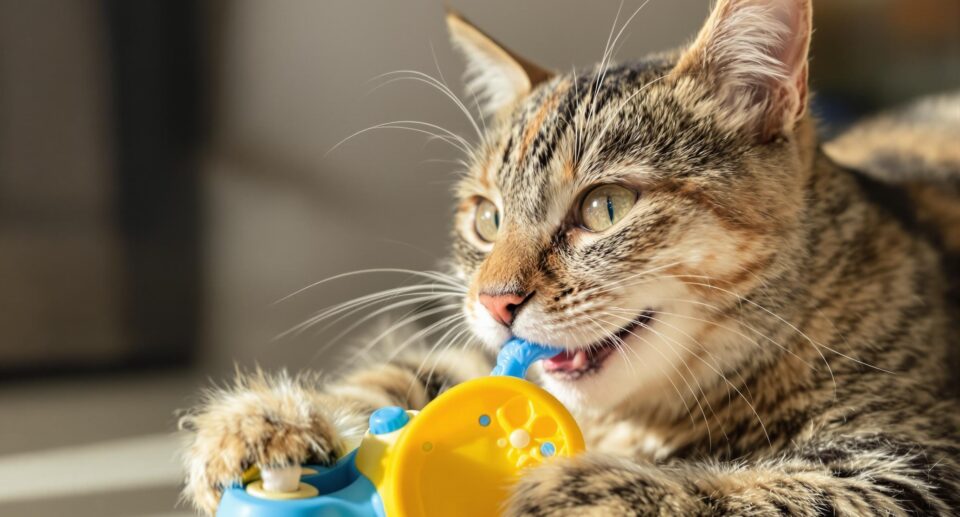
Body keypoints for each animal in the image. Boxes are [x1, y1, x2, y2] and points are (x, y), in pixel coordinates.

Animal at [178, 2, 960, 512]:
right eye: (486, 218)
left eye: (605, 208)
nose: (494, 300)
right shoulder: (480, 357)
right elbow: (419, 372)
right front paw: (269, 423)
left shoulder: (916, 465)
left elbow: (757, 493)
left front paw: (566, 488)